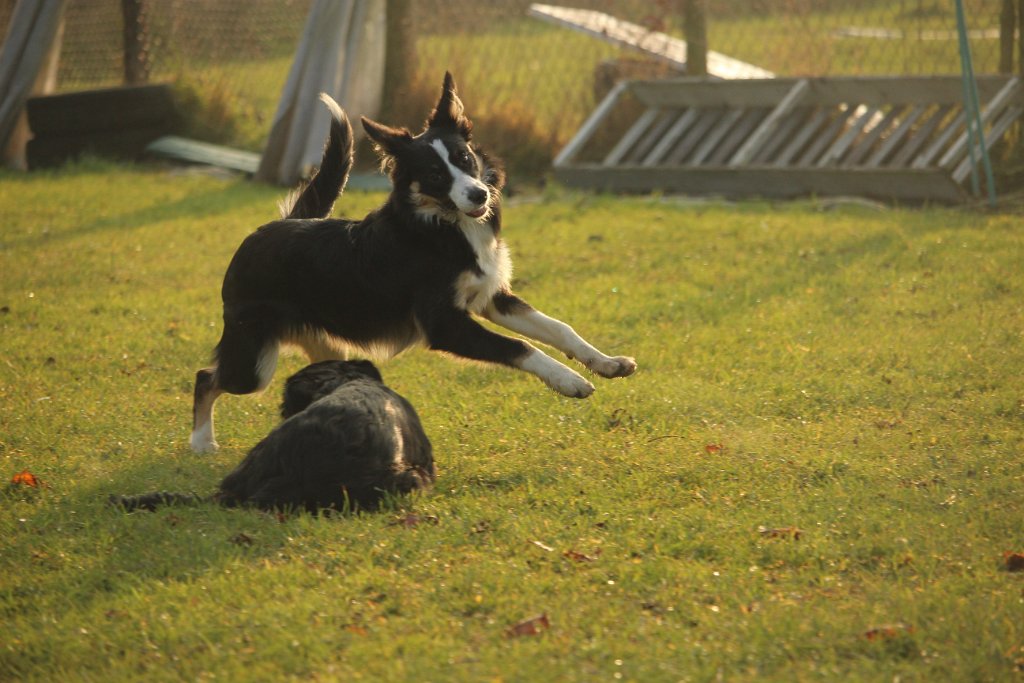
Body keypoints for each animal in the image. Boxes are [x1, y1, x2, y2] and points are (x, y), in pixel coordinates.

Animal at [190, 72, 636, 453]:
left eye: (465, 158)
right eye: (436, 175)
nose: (478, 195)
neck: (442, 226)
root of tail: (273, 227)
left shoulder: (491, 297)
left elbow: (559, 328)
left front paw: (606, 363)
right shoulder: (445, 324)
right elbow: (521, 346)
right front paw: (569, 380)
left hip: (325, 344)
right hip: (253, 360)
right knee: (206, 378)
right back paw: (201, 441)